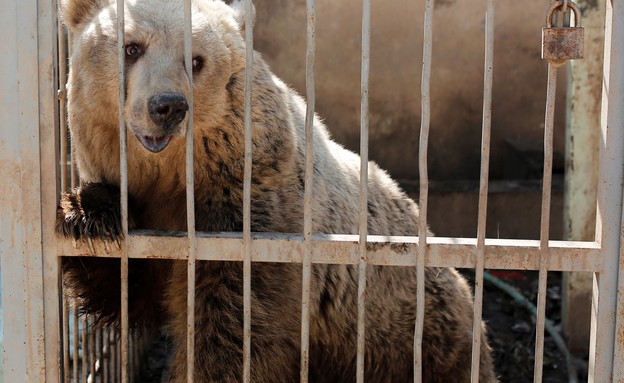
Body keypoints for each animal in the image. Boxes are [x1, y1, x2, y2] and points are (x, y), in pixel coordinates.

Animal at [57, 0, 498, 382]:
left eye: (196, 60)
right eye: (132, 47)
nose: (167, 106)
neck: (175, 178)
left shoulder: (253, 215)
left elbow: (232, 327)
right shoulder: (156, 229)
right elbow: (131, 284)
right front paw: (87, 214)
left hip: (412, 332)